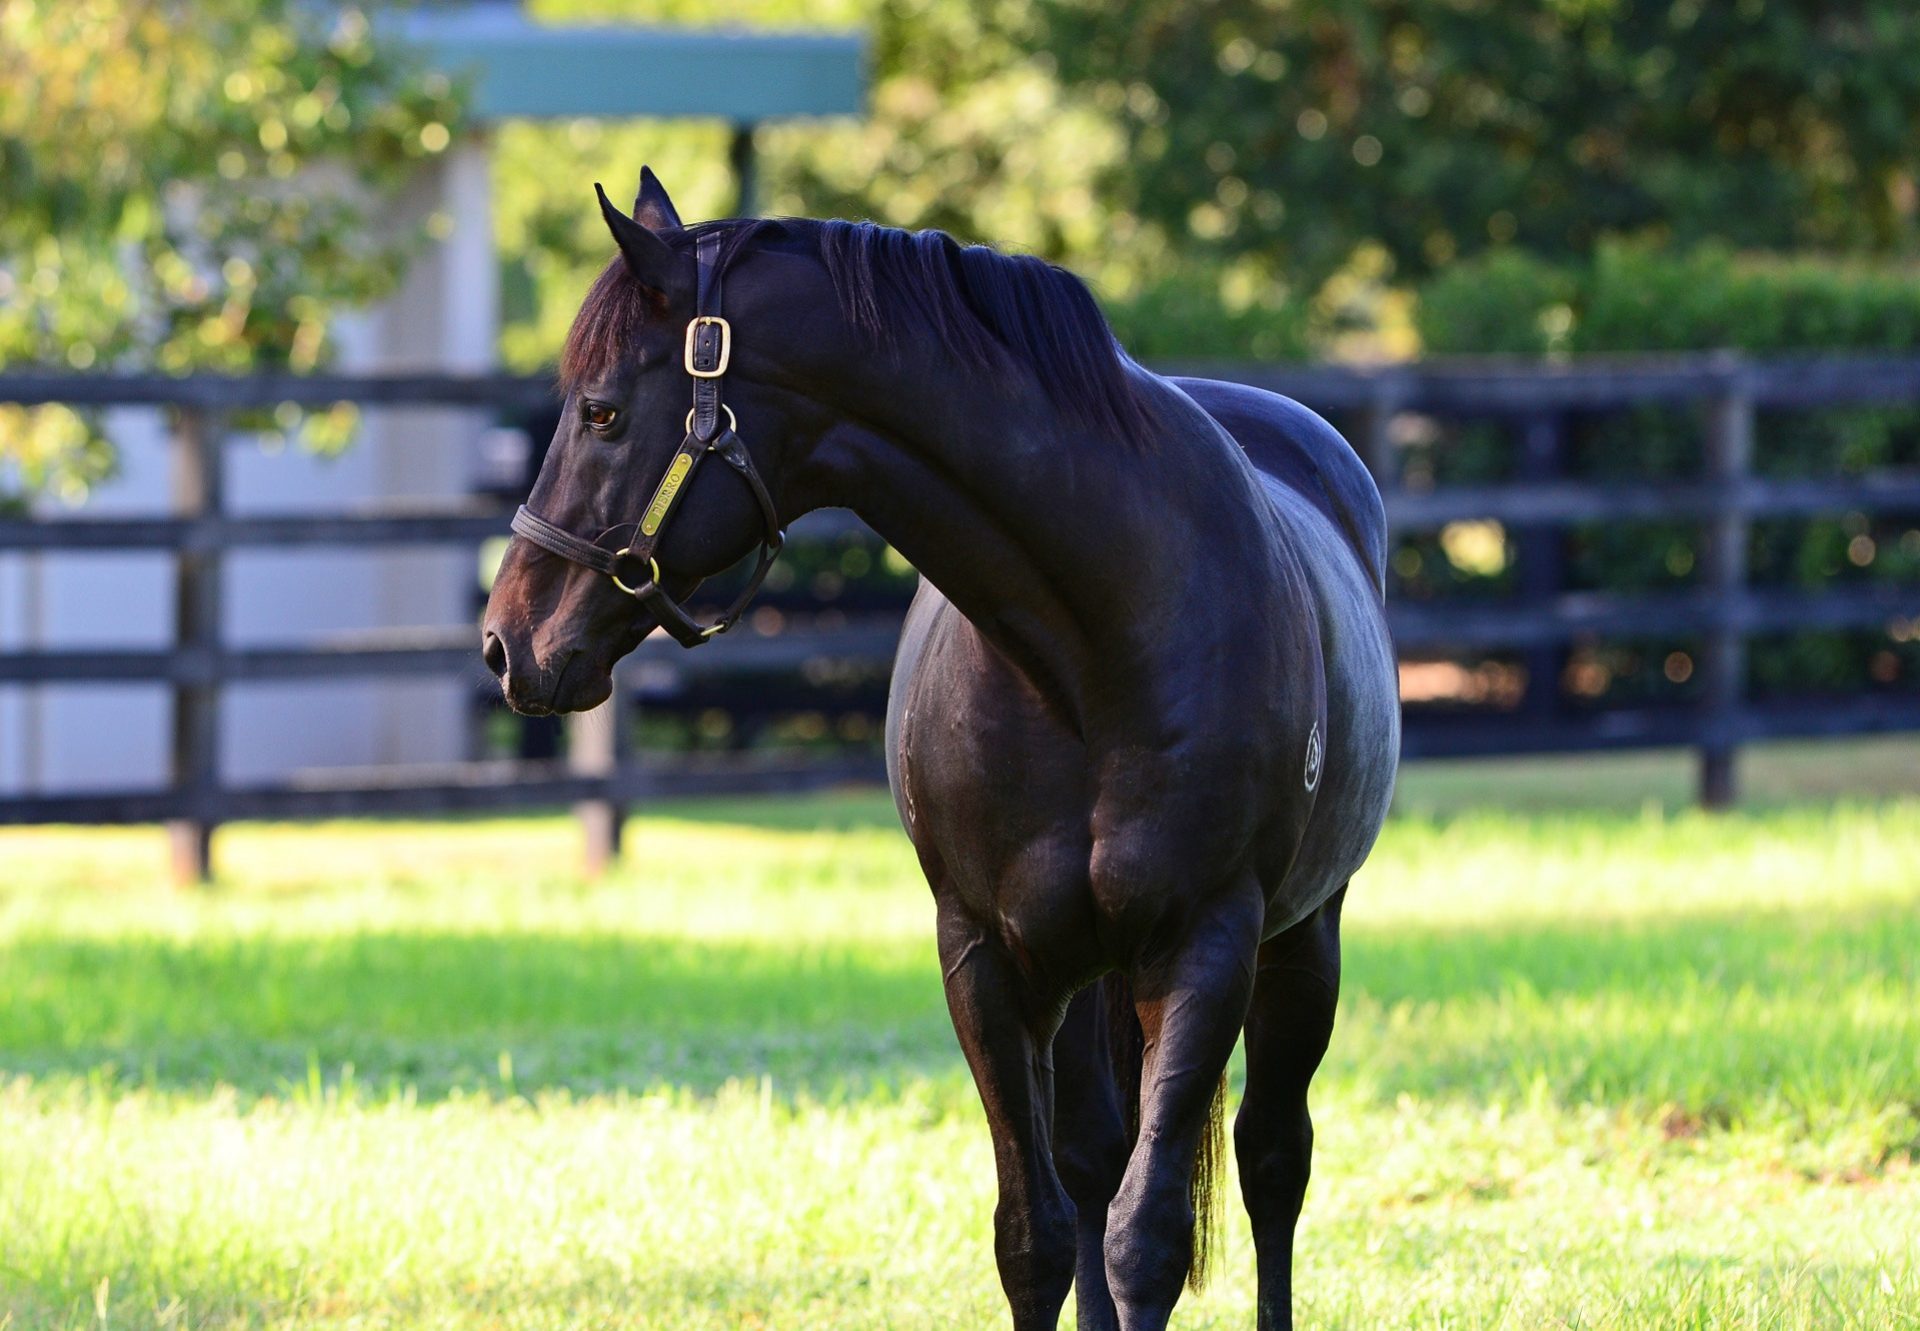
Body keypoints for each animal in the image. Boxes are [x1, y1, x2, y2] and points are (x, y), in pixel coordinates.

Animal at [483, 170, 1397, 1321]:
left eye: (602, 411)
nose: (507, 642)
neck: (1090, 646)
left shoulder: (1207, 946)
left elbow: (1145, 1238)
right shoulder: (986, 957)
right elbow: (1037, 1236)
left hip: (1303, 938)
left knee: (1272, 1161)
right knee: (1093, 1159)